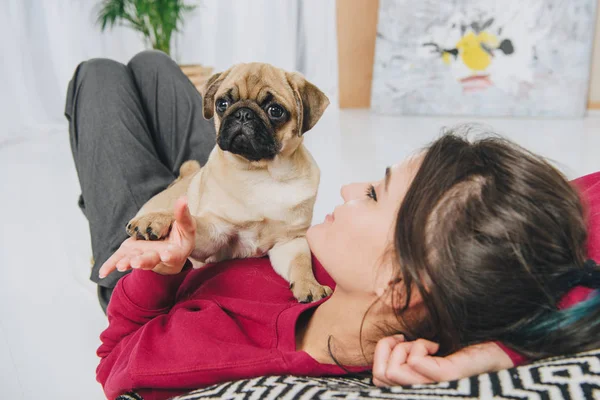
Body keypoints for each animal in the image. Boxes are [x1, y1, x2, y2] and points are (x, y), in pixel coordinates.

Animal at [126, 62, 332, 302]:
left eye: (275, 111)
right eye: (222, 104)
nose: (243, 114)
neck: (261, 173)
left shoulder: (290, 242)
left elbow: (301, 263)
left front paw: (310, 285)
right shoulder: (215, 235)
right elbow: (190, 222)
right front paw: (160, 220)